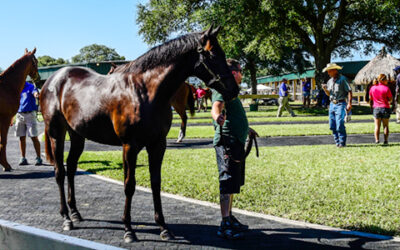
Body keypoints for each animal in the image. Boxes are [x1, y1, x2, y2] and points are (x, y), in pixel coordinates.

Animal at [40, 26, 239, 243]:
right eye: (212, 54)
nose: (234, 89)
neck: (145, 91)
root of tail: (53, 79)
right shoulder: (130, 146)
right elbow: (129, 185)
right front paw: (128, 229)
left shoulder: (158, 145)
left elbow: (155, 183)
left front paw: (163, 227)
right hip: (56, 133)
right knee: (59, 171)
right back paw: (66, 218)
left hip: (77, 135)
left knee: (71, 167)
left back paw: (75, 212)